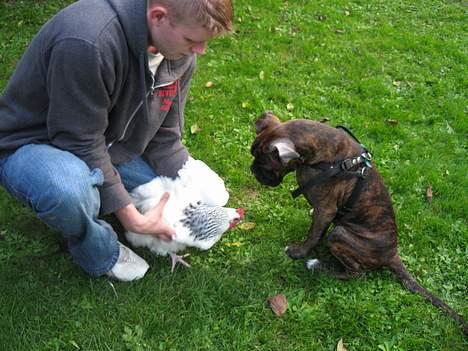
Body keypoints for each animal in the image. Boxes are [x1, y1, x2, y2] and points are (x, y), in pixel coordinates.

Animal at [252, 111, 468, 334]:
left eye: (266, 165)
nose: (253, 170)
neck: (320, 154)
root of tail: (392, 254)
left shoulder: (326, 209)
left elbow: (313, 235)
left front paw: (299, 251)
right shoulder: (325, 213)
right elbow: (317, 231)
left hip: (339, 235)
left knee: (356, 274)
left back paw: (317, 266)